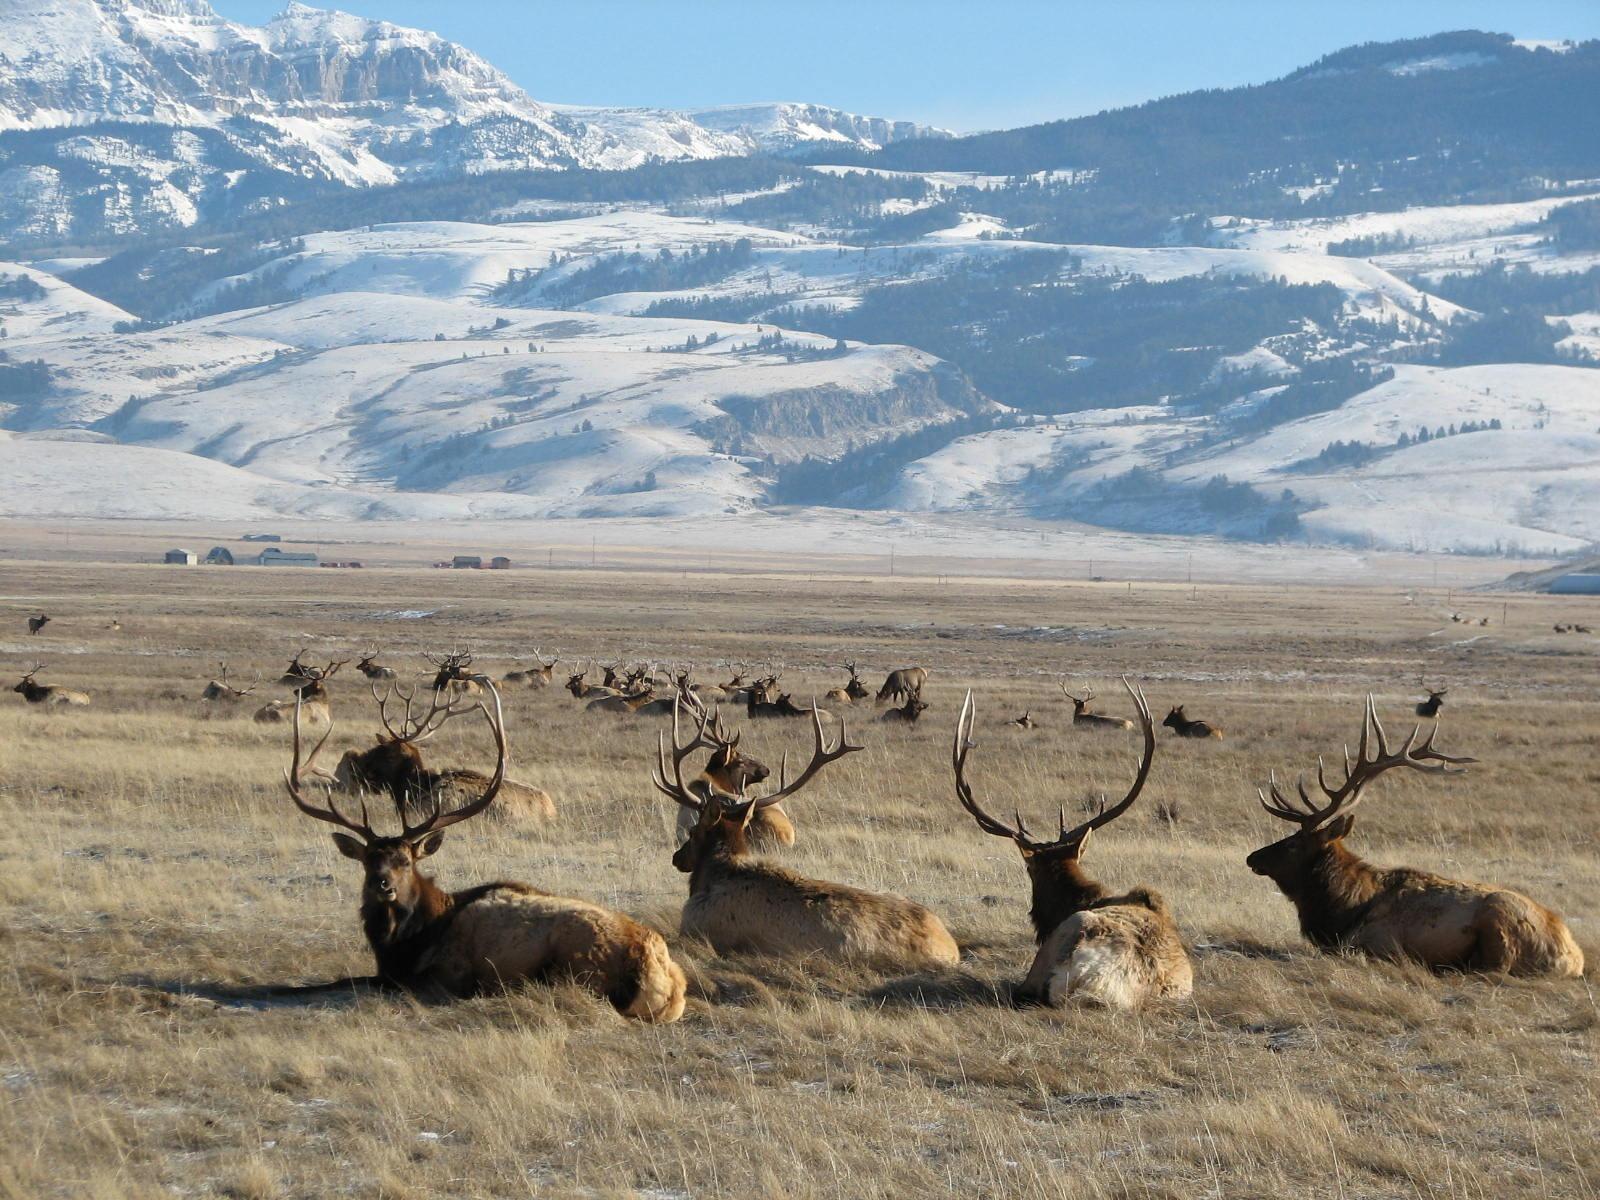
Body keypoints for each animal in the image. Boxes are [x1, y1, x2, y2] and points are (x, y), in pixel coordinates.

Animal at [284, 686, 683, 1020]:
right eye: (368, 861)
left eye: (406, 861)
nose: (383, 885)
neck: (404, 943)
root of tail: (663, 978)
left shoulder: (442, 976)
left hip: (573, 966)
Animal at [1247, 697, 1583, 977]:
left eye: (1293, 843)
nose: (1252, 857)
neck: (1343, 911)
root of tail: (1573, 957)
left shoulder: (1377, 942)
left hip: (1499, 920)